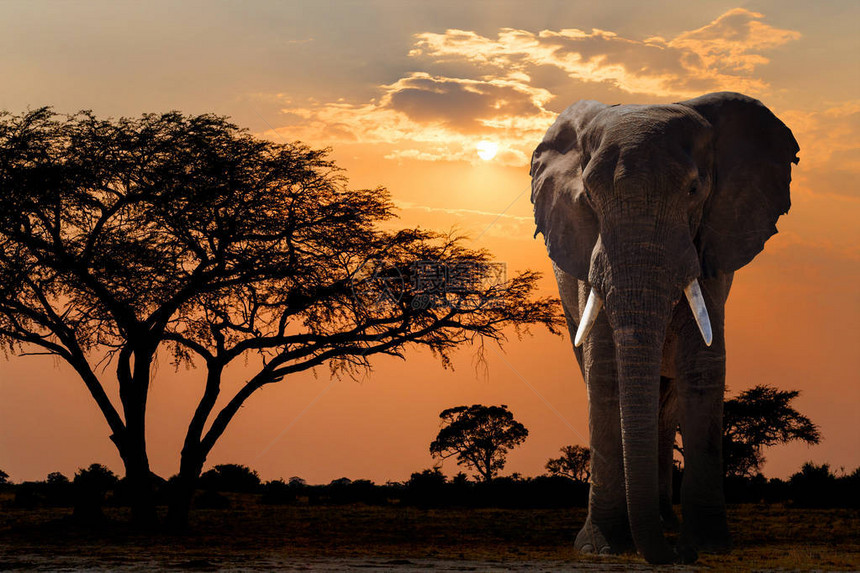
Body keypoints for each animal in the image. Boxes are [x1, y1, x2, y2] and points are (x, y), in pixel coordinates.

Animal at [532, 91, 800, 560]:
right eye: (589, 197)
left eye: (694, 191)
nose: (678, 556)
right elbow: (604, 372)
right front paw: (602, 547)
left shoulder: (711, 248)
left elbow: (702, 367)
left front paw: (709, 545)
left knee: (666, 403)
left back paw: (666, 524)